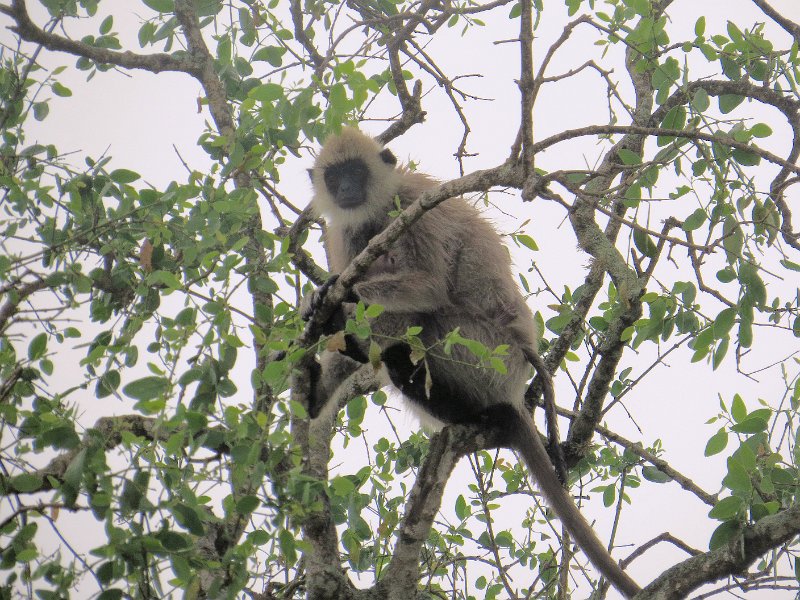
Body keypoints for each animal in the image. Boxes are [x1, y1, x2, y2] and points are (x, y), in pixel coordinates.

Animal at [303, 127, 641, 599]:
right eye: (336, 177)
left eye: (356, 171)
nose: (348, 189)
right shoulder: (350, 232)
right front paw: (325, 329)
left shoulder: (413, 207)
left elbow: (426, 287)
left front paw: (334, 298)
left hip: (487, 352)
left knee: (423, 320)